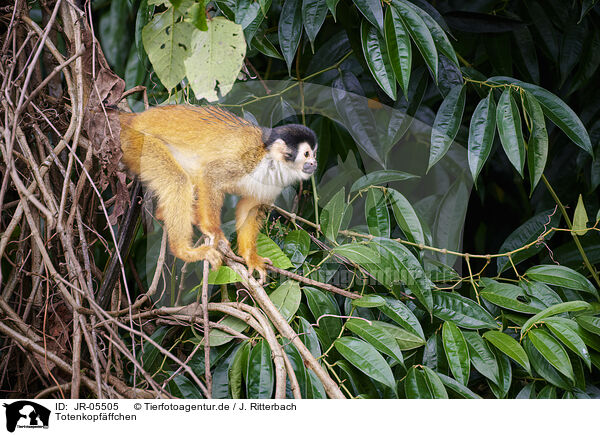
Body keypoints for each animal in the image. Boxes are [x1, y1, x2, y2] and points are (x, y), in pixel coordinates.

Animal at [120, 106, 318, 282]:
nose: (314, 163)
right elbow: (211, 176)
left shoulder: (274, 185)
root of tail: (134, 119)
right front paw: (213, 230)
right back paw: (184, 251)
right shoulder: (249, 159)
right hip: (139, 143)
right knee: (178, 180)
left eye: (314, 154)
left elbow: (249, 209)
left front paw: (251, 258)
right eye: (306, 154)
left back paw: (169, 214)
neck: (272, 163)